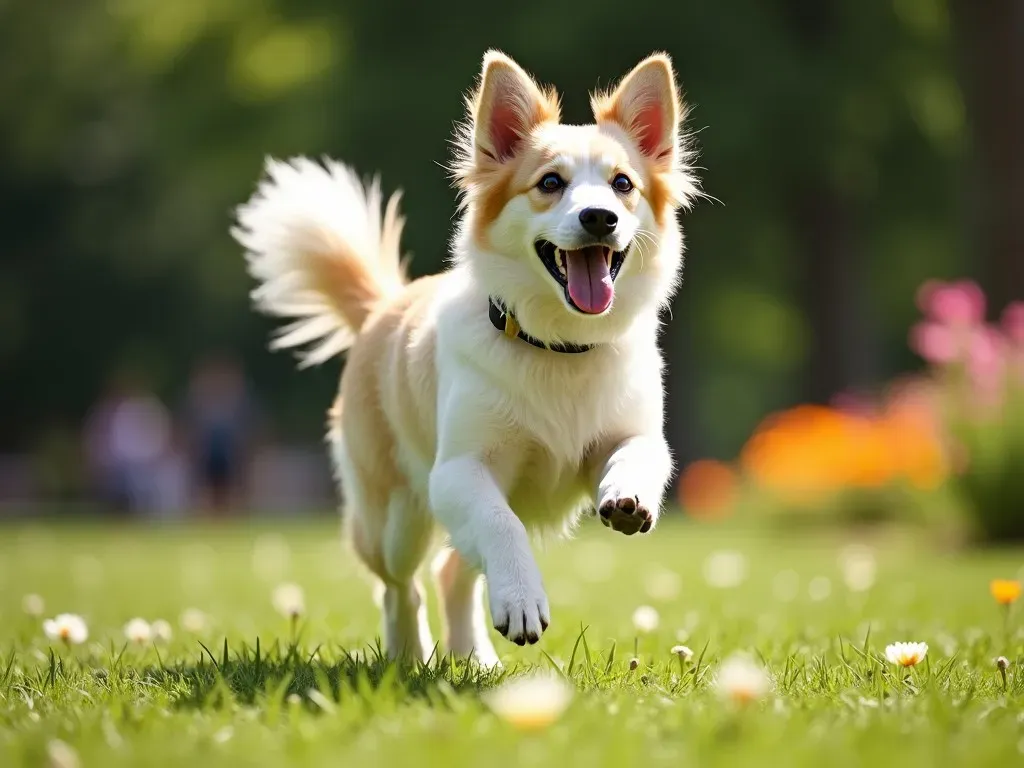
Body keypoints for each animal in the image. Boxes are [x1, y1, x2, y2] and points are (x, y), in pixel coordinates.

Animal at [231, 49, 700, 667]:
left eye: (623, 184)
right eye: (550, 183)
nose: (601, 217)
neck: (559, 346)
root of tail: (382, 306)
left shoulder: (633, 431)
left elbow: (639, 454)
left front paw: (628, 497)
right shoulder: (458, 471)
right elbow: (499, 525)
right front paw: (521, 600)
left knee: (453, 569)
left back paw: (473, 657)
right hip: (395, 518)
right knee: (400, 585)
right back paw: (411, 656)